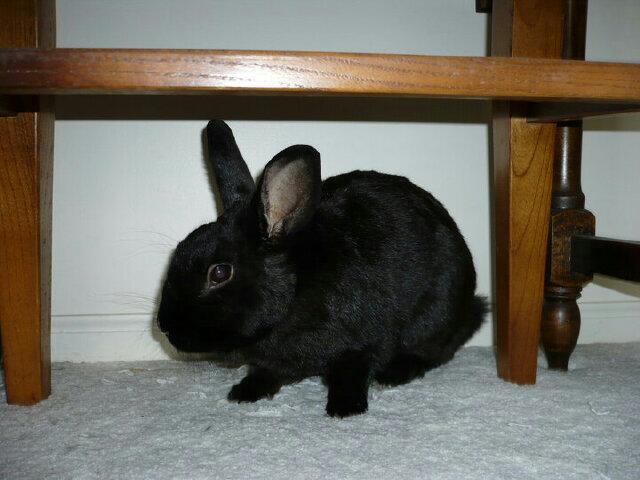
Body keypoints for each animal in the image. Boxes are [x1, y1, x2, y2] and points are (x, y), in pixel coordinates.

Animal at [157, 120, 487, 418]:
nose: (164, 326)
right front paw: (245, 392)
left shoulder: (366, 342)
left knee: (434, 352)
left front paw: (345, 408)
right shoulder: (274, 361)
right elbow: (268, 371)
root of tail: (470, 307)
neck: (293, 295)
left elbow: (351, 373)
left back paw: (394, 374)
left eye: (220, 273)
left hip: (435, 314)